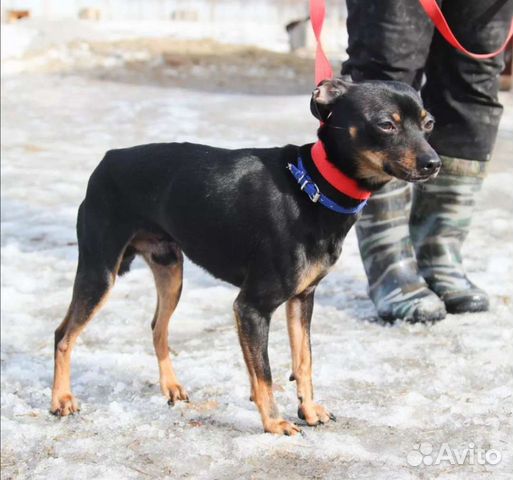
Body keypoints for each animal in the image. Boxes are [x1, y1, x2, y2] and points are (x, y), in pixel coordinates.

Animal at [50, 78, 438, 436]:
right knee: (63, 334)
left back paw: (171, 387)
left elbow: (304, 360)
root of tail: (109, 158)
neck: (311, 188)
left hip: (170, 272)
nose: (434, 163)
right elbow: (263, 373)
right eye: (386, 124)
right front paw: (274, 422)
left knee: (157, 328)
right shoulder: (251, 307)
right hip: (101, 273)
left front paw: (309, 409)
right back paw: (61, 400)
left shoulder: (303, 298)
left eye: (429, 123)